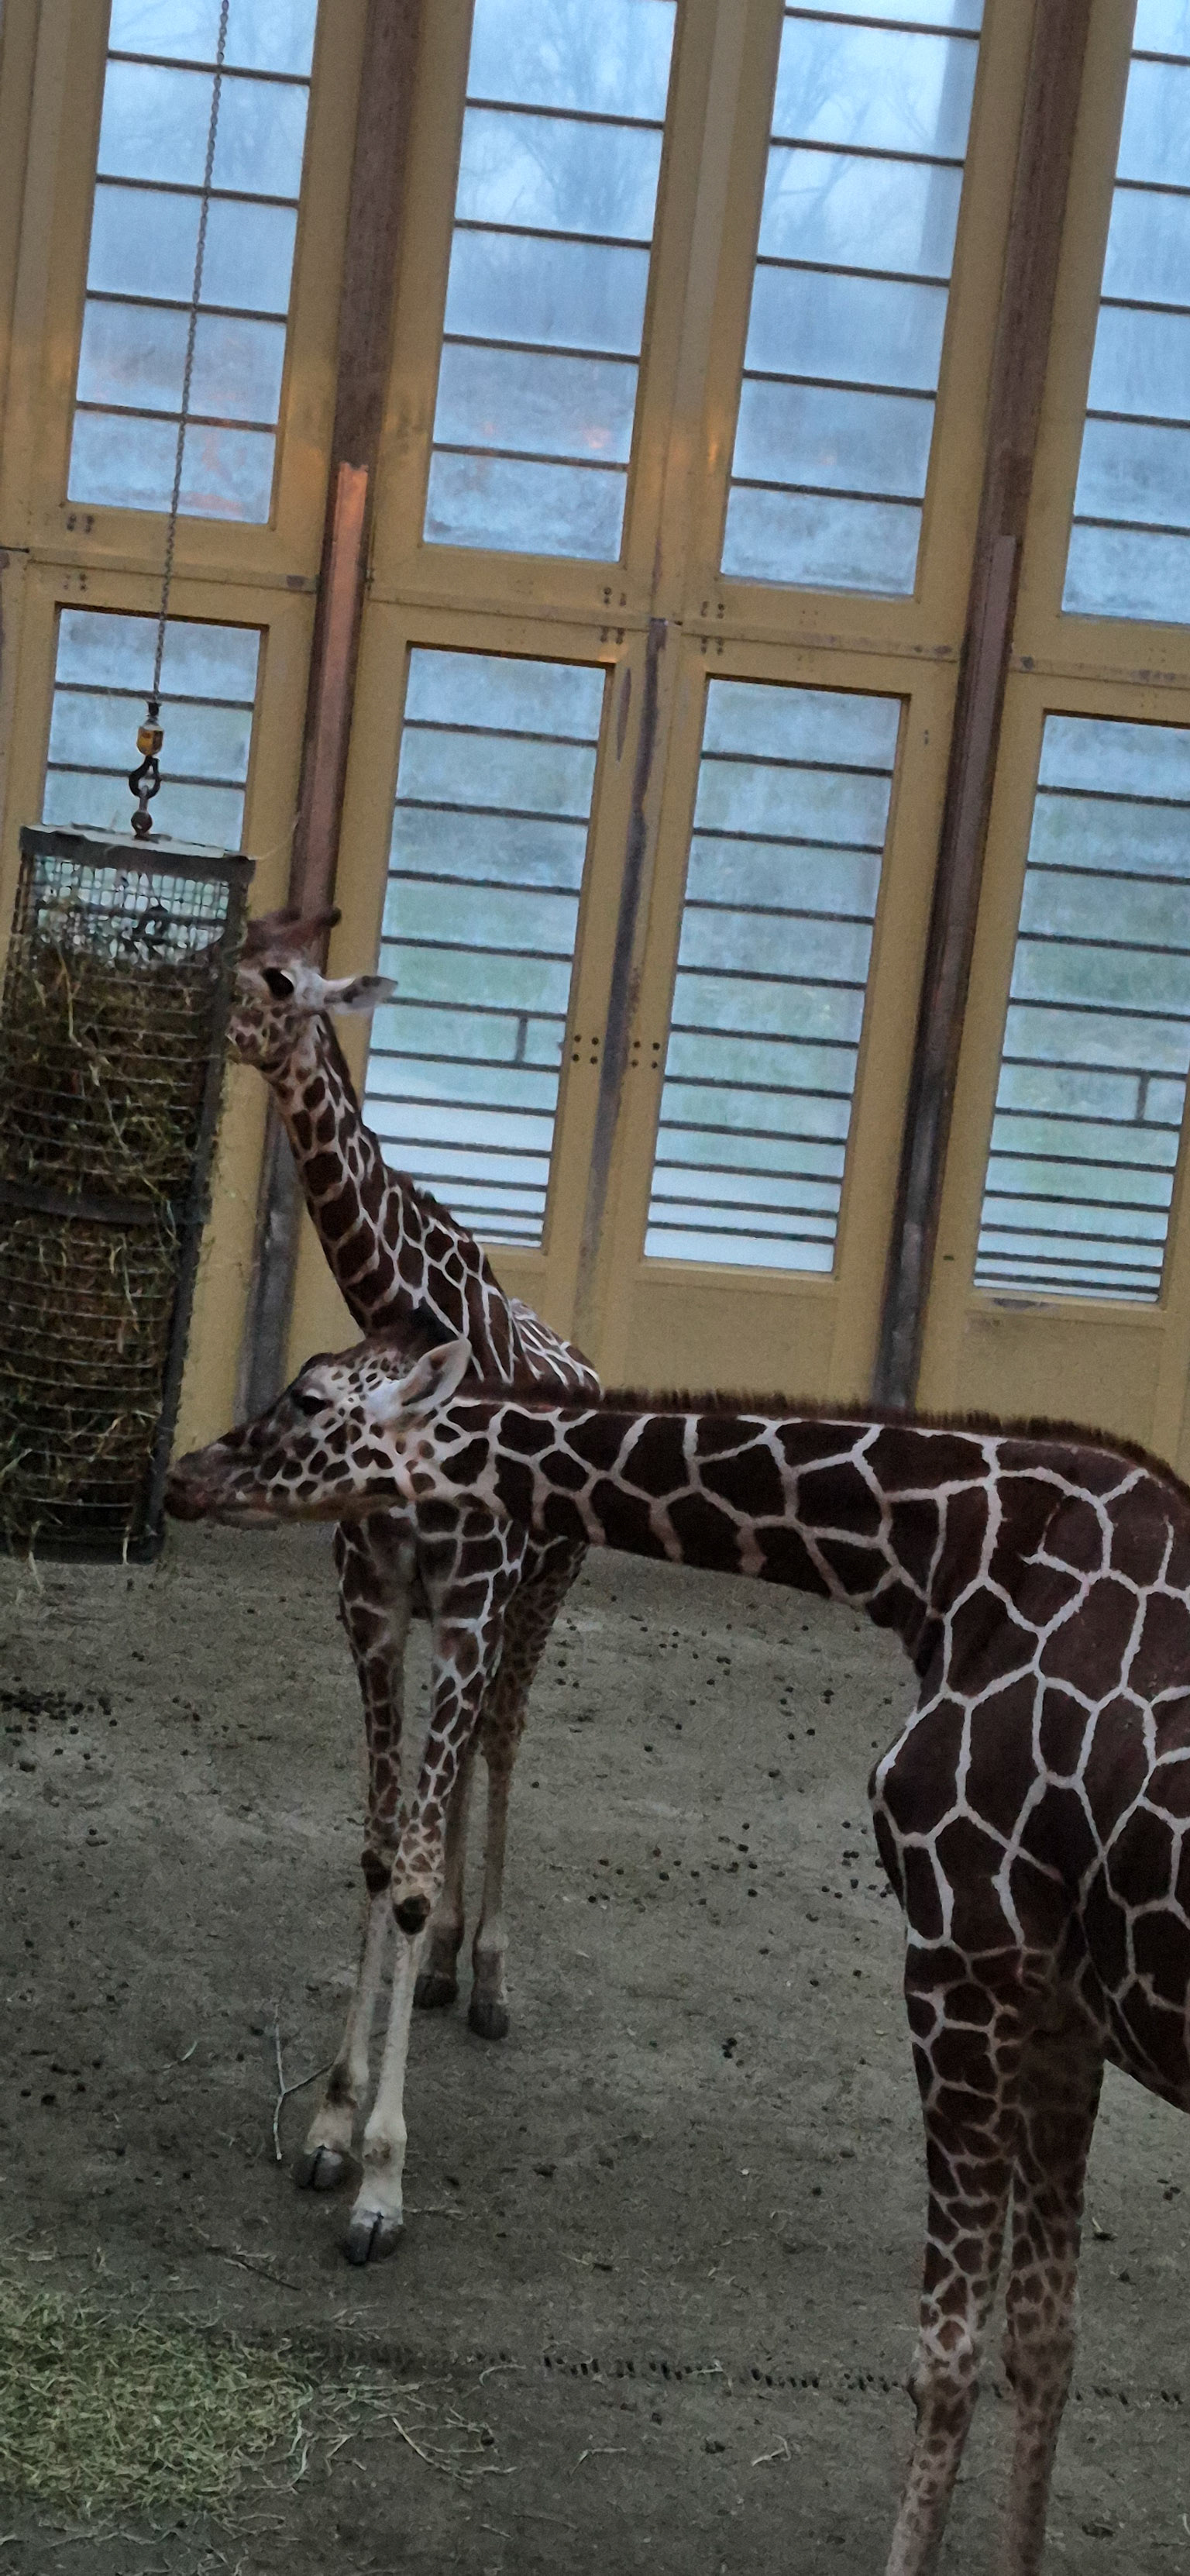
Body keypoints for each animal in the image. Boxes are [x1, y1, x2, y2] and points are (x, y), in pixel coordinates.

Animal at [170, 1330, 1190, 2576]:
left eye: (312, 1399)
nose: (190, 1474)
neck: (942, 1564)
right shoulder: (1060, 2008)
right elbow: (1044, 2342)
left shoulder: (964, 1950)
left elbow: (943, 2359)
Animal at [228, 907, 599, 2258]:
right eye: (229, 947)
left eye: (282, 980)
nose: (211, 1011)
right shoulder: (376, 1612)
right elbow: (386, 1857)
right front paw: (333, 2127)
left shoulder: (476, 1604)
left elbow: (419, 1859)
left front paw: (383, 2179)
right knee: (460, 1773)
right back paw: (441, 1970)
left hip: (537, 1599)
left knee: (505, 1738)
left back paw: (483, 1972)